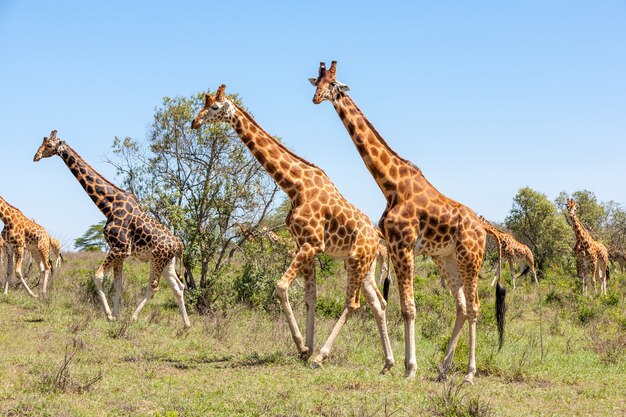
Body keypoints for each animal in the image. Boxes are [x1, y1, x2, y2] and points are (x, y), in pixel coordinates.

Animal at [33, 128, 190, 326]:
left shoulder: (120, 248)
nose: (36, 157)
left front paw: (109, 315)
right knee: (179, 286)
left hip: (158, 259)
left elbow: (98, 276)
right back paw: (186, 324)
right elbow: (118, 284)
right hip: (167, 261)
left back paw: (133, 317)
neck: (108, 207)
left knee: (154, 287)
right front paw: (115, 315)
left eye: (49, 145)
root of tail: (178, 244)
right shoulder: (120, 251)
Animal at [193, 84, 392, 370]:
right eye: (204, 105)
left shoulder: (312, 244)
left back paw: (322, 356)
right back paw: (389, 362)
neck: (294, 185)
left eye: (215, 107)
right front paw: (306, 347)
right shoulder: (304, 245)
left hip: (356, 260)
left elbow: (281, 287)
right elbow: (311, 298)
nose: (194, 122)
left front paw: (303, 347)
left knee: (353, 304)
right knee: (379, 303)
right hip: (363, 264)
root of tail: (377, 237)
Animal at [310, 61, 504, 384]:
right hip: (446, 258)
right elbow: (402, 306)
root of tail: (484, 227)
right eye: (318, 81)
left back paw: (468, 373)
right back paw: (444, 368)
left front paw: (410, 368)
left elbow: (409, 308)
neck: (391, 184)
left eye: (334, 83)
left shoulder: (404, 245)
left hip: (470, 257)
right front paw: (403, 365)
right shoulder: (398, 246)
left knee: (475, 307)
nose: (316, 98)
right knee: (462, 306)